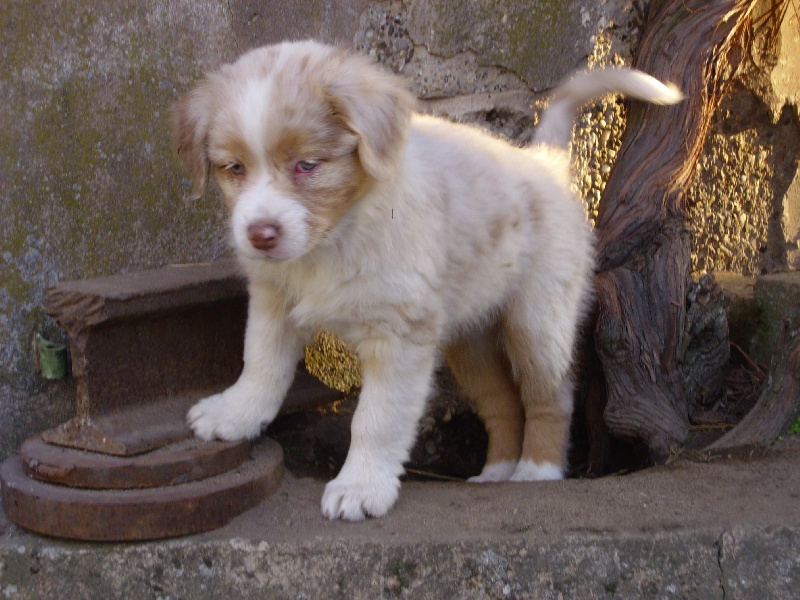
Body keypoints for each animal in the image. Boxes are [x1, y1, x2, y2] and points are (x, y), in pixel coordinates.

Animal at [173, 41, 680, 520]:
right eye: (234, 168)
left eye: (308, 165)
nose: (260, 235)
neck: (335, 238)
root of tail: (543, 161)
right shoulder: (274, 300)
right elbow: (260, 365)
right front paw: (235, 414)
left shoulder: (399, 336)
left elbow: (376, 420)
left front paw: (360, 488)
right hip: (470, 341)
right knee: (502, 403)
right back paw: (495, 473)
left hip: (537, 321)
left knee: (550, 396)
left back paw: (537, 471)